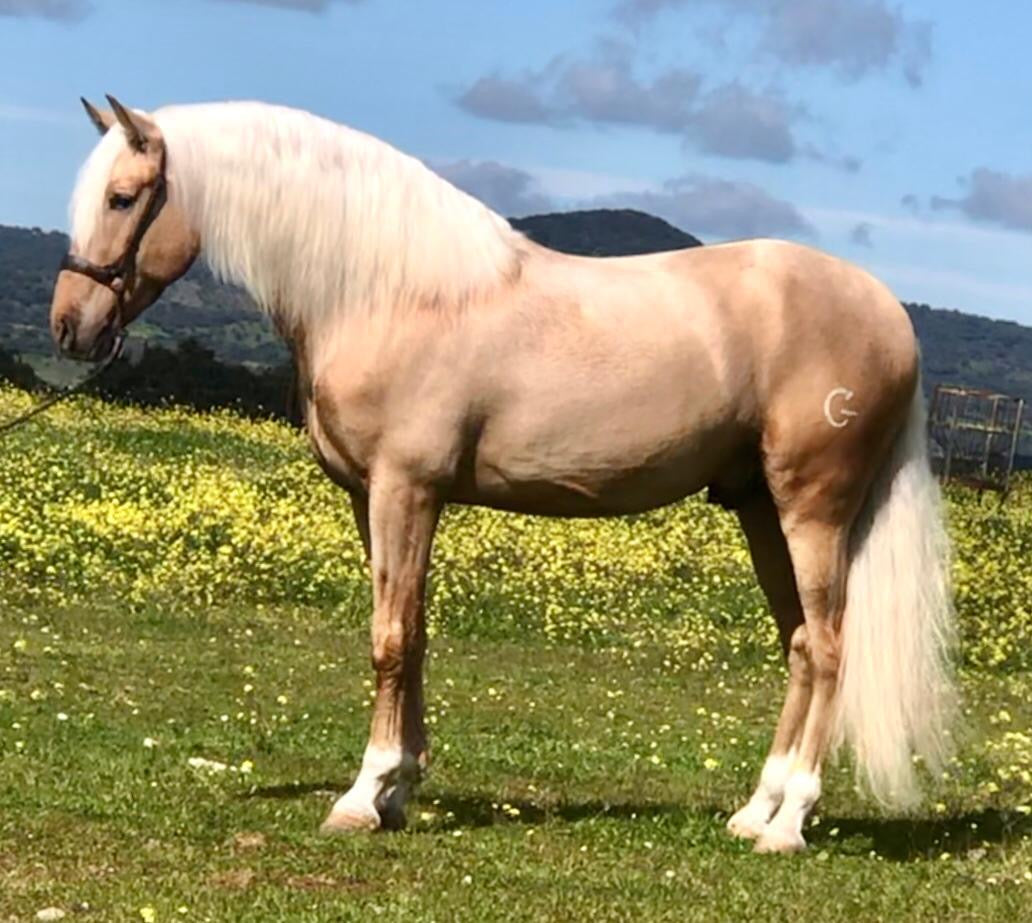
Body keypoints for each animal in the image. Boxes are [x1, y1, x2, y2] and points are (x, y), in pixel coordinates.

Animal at [49, 95, 955, 854]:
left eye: (124, 198)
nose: (69, 326)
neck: (387, 293)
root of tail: (889, 314)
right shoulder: (372, 499)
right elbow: (410, 633)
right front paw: (399, 789)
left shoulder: (406, 489)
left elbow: (388, 638)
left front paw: (361, 796)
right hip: (759, 506)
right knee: (799, 644)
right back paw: (753, 811)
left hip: (813, 510)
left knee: (831, 648)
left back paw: (788, 823)